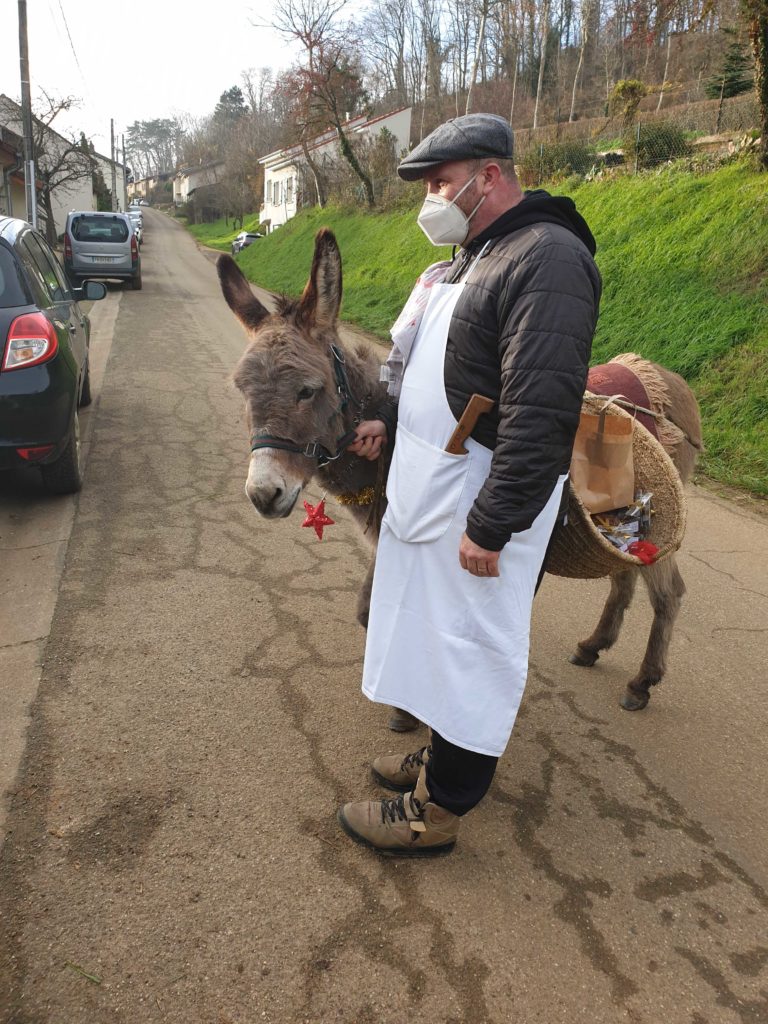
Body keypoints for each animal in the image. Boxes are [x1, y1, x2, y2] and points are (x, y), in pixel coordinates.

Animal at [217, 227, 702, 717]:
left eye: (307, 390)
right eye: (241, 390)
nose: (263, 494)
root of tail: (667, 378)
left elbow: (384, 613)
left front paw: (408, 705)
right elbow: (368, 612)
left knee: (670, 591)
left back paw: (643, 682)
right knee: (624, 577)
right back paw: (593, 646)